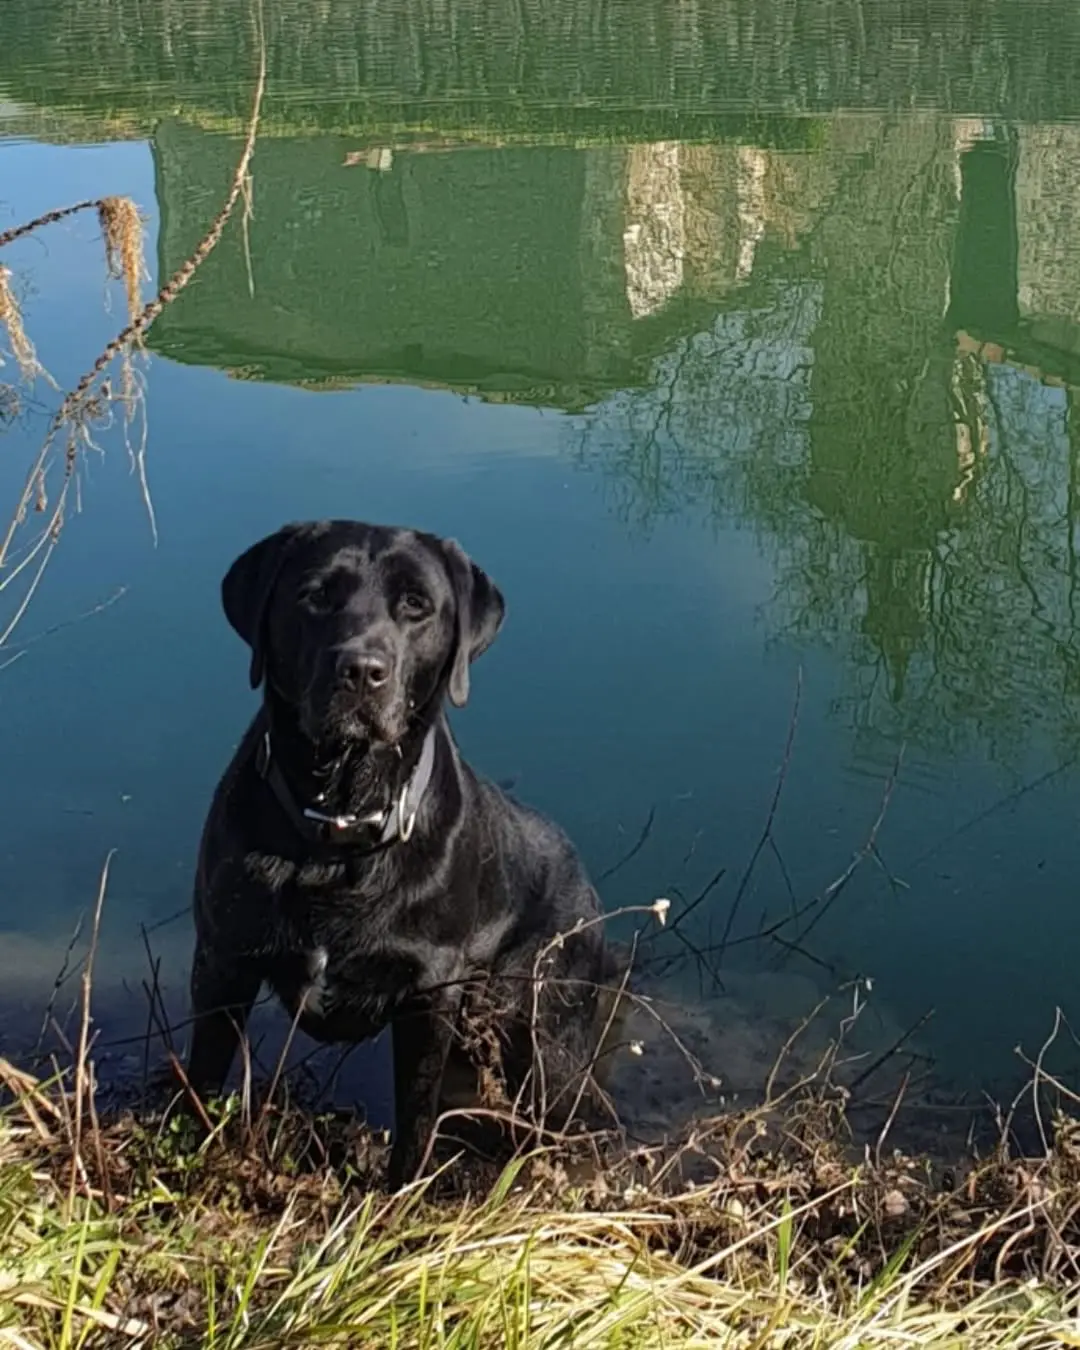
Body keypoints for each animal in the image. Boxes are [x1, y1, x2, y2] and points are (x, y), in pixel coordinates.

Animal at [186, 521, 615, 1188]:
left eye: (416, 605)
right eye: (315, 595)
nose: (361, 669)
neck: (338, 825)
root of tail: (584, 879)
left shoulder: (428, 995)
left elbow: (414, 1119)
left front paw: (398, 1199)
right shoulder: (223, 960)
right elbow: (199, 1083)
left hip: (547, 1041)